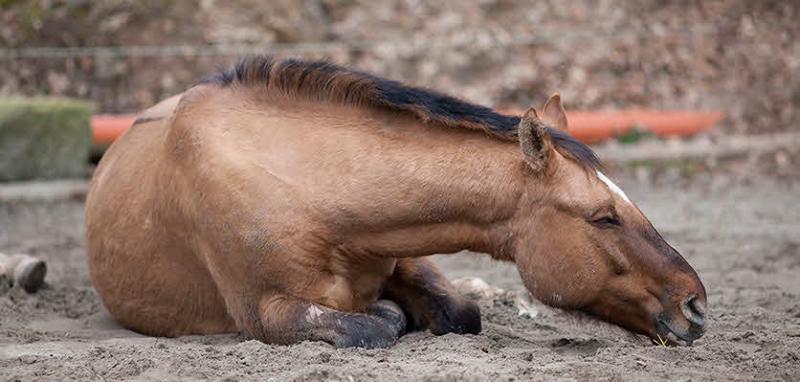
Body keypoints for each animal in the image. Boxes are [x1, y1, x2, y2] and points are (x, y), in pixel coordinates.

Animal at [83, 55, 708, 348]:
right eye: (603, 217)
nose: (696, 305)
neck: (310, 188)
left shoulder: (405, 251)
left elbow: (459, 312)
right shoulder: (265, 312)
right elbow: (373, 325)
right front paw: (388, 315)